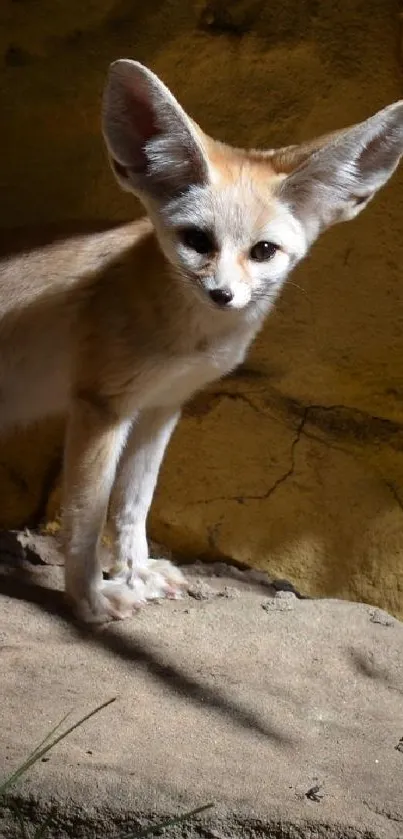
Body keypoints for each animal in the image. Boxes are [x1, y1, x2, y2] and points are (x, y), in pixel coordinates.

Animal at [0, 60, 403, 624]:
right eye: (197, 241)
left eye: (263, 251)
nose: (222, 295)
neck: (188, 340)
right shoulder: (102, 407)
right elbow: (86, 516)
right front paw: (90, 598)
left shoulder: (162, 405)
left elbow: (133, 503)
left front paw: (135, 571)